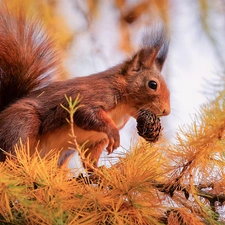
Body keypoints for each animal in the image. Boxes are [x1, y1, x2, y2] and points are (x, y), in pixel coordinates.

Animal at [0, 8, 170, 167]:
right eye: (153, 84)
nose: (166, 111)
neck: (123, 108)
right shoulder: (92, 95)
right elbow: (86, 112)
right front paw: (114, 133)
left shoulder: (97, 140)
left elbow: (90, 159)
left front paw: (99, 172)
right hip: (22, 122)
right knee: (14, 147)